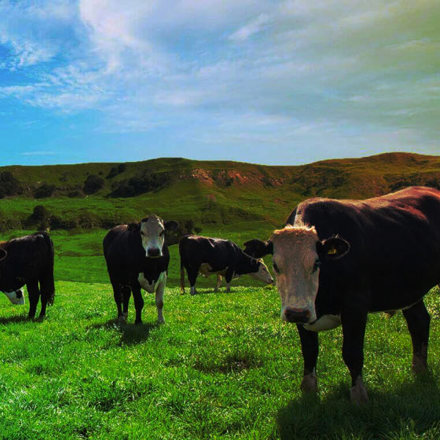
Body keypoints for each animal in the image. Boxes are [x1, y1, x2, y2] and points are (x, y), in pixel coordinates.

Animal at [266, 187, 440, 404]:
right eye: (275, 265)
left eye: (316, 263)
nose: (296, 313)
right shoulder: (302, 311)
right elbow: (309, 350)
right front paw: (308, 391)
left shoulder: (356, 306)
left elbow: (352, 353)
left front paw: (359, 396)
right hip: (408, 289)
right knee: (419, 322)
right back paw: (419, 370)